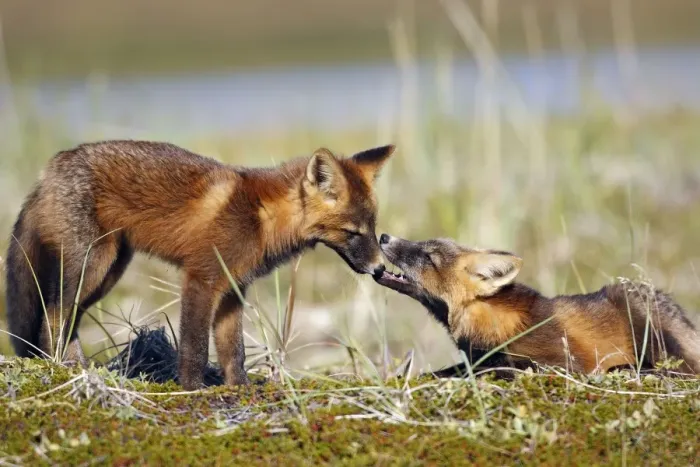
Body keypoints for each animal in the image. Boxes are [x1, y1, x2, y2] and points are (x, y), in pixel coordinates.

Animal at [5, 140, 395, 390]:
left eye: (373, 228)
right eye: (352, 232)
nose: (380, 269)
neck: (262, 219)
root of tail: (51, 168)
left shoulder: (234, 290)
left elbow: (232, 351)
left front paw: (240, 388)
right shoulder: (201, 279)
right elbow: (194, 347)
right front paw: (193, 390)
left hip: (108, 272)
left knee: (66, 318)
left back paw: (81, 369)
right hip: (91, 267)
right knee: (53, 317)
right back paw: (67, 369)